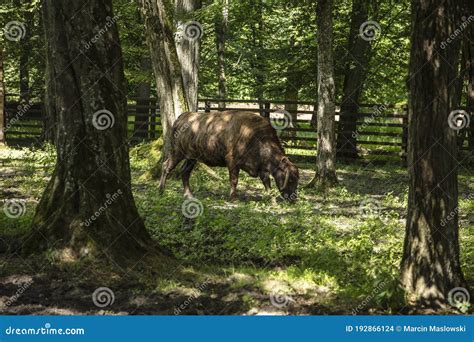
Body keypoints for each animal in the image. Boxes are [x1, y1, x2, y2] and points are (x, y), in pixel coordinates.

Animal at [159, 110, 300, 200]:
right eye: (291, 179)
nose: (293, 199)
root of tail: (182, 117)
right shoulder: (232, 162)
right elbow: (234, 180)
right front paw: (233, 198)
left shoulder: (261, 167)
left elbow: (266, 182)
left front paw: (271, 199)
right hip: (177, 153)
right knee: (166, 166)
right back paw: (161, 190)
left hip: (191, 158)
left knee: (184, 172)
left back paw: (188, 195)